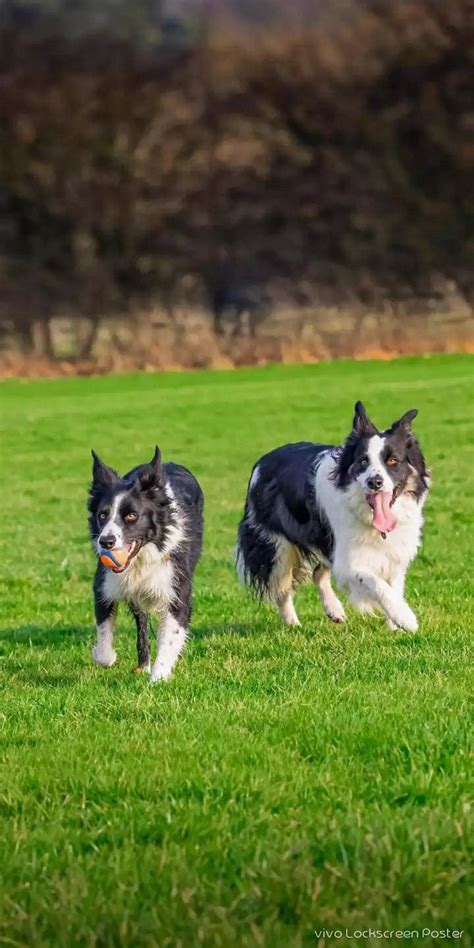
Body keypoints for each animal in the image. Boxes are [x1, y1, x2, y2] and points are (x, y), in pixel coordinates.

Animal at [88, 446, 203, 680]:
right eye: (102, 515)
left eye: (132, 516)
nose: (106, 541)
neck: (141, 560)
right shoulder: (105, 587)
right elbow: (104, 646)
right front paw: (104, 655)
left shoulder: (176, 590)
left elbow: (170, 636)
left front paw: (158, 678)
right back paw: (143, 664)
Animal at [236, 404, 430, 632]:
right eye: (363, 461)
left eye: (393, 461)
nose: (375, 482)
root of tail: (261, 462)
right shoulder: (349, 560)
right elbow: (376, 582)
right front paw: (406, 618)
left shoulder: (396, 552)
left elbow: (394, 587)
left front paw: (395, 623)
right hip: (277, 547)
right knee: (282, 588)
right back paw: (293, 624)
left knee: (317, 573)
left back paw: (334, 610)